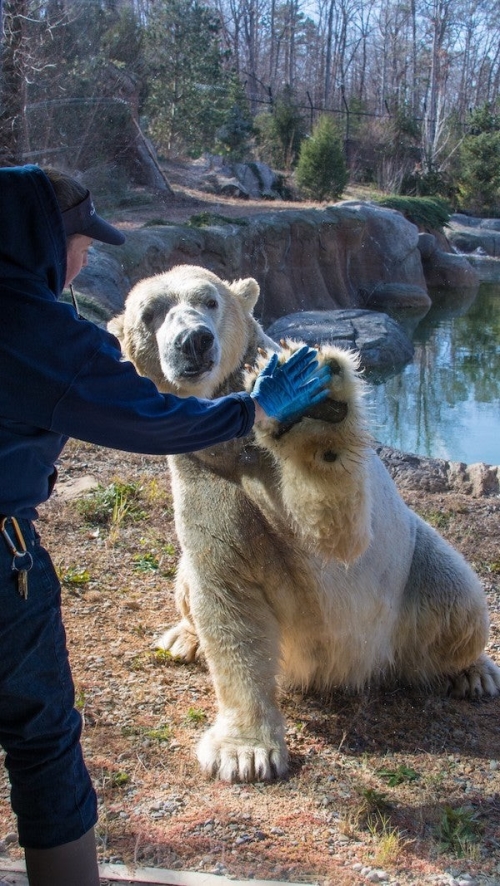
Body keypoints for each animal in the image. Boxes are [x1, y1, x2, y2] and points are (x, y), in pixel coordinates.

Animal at [109, 262, 500, 784]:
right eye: (150, 313)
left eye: (209, 300)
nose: (195, 340)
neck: (237, 447)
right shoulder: (201, 471)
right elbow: (224, 594)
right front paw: (245, 754)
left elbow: (336, 534)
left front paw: (316, 416)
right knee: (185, 582)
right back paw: (182, 638)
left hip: (416, 569)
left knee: (458, 600)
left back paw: (472, 671)